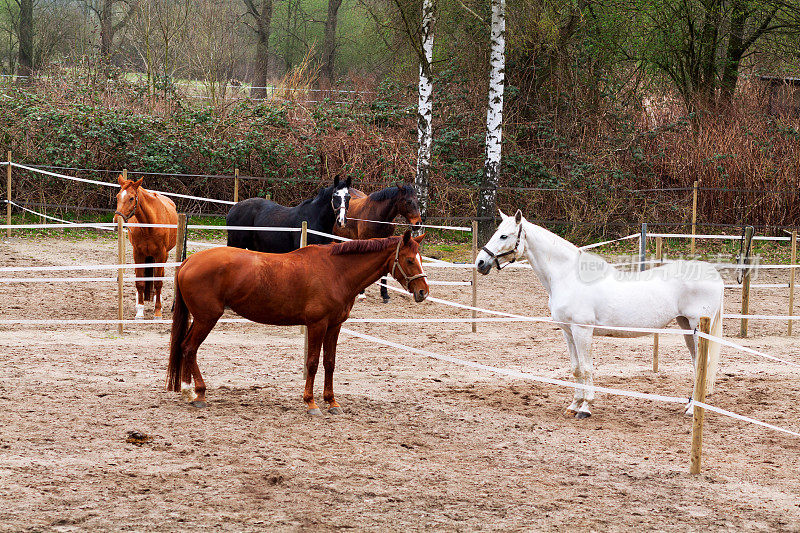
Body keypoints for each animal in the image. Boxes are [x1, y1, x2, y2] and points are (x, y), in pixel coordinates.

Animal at [113, 175, 177, 318]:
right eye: (117, 196)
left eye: (131, 198)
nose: (116, 221)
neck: (149, 225)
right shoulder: (138, 253)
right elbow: (140, 282)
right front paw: (140, 311)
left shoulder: (160, 254)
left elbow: (158, 282)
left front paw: (158, 311)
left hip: (163, 256)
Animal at [165, 231, 428, 414]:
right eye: (409, 260)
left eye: (420, 258)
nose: (423, 292)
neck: (336, 271)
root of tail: (189, 261)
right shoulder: (317, 324)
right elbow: (312, 363)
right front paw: (311, 403)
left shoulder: (334, 326)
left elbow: (330, 363)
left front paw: (332, 401)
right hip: (206, 319)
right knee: (189, 348)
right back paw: (197, 393)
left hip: (201, 319)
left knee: (186, 348)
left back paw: (190, 392)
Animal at [476, 210, 724, 418]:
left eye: (503, 236)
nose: (480, 262)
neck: (568, 276)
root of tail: (714, 275)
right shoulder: (568, 332)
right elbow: (576, 369)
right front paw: (573, 405)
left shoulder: (582, 330)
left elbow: (587, 367)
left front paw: (585, 408)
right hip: (686, 327)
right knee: (696, 364)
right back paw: (690, 406)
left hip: (697, 328)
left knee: (702, 364)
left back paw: (692, 410)